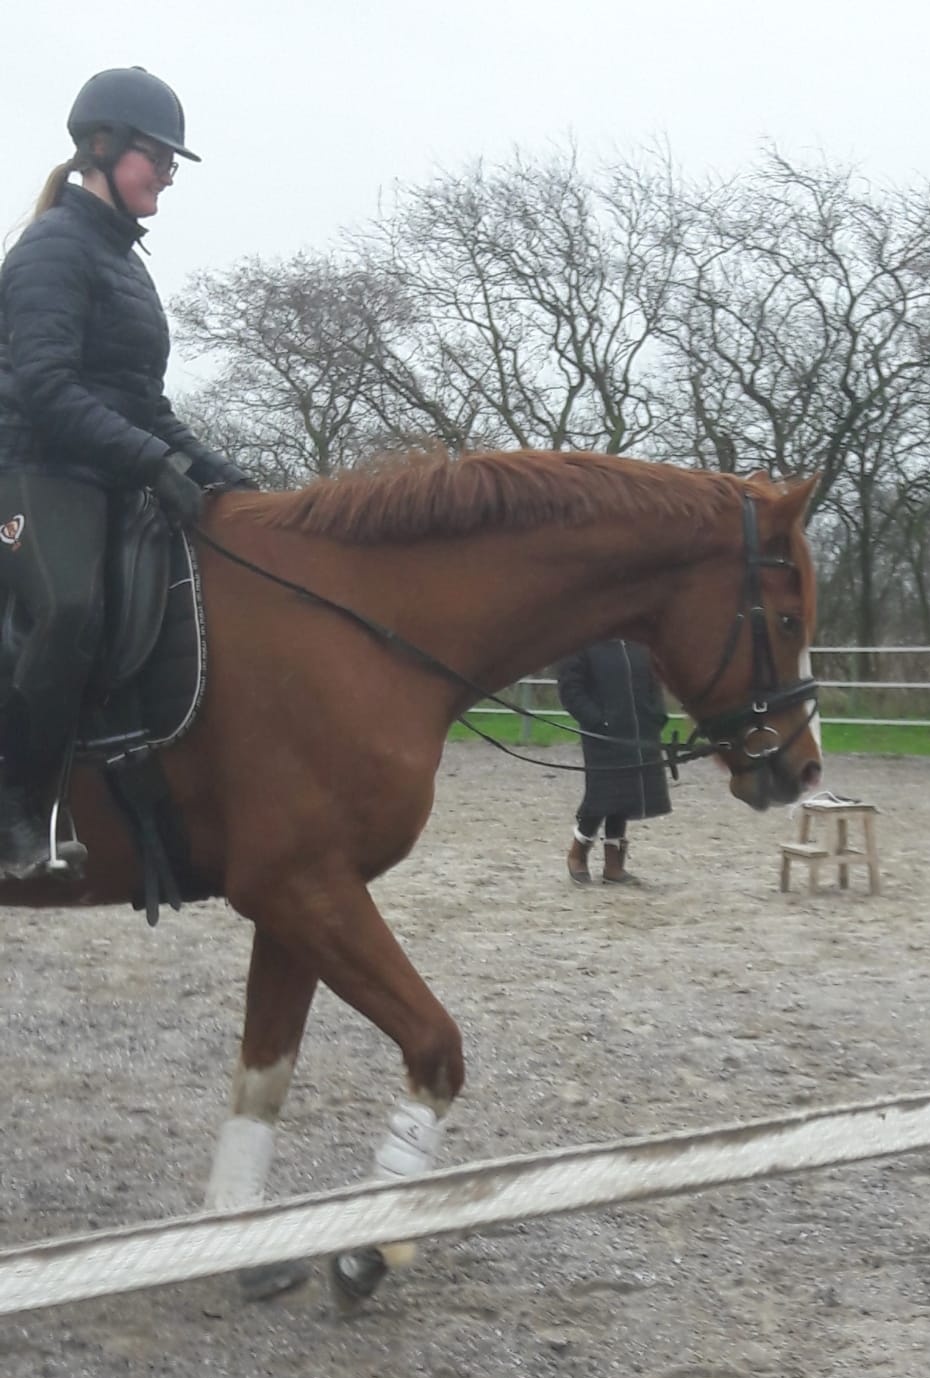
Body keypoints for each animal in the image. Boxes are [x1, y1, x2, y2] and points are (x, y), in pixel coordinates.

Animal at [0, 448, 821, 1307]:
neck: (356, 622)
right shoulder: (302, 889)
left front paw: (242, 1243)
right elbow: (436, 1049)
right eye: (786, 618)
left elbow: (266, 1073)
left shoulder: (298, 899)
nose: (803, 768)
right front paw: (374, 1246)